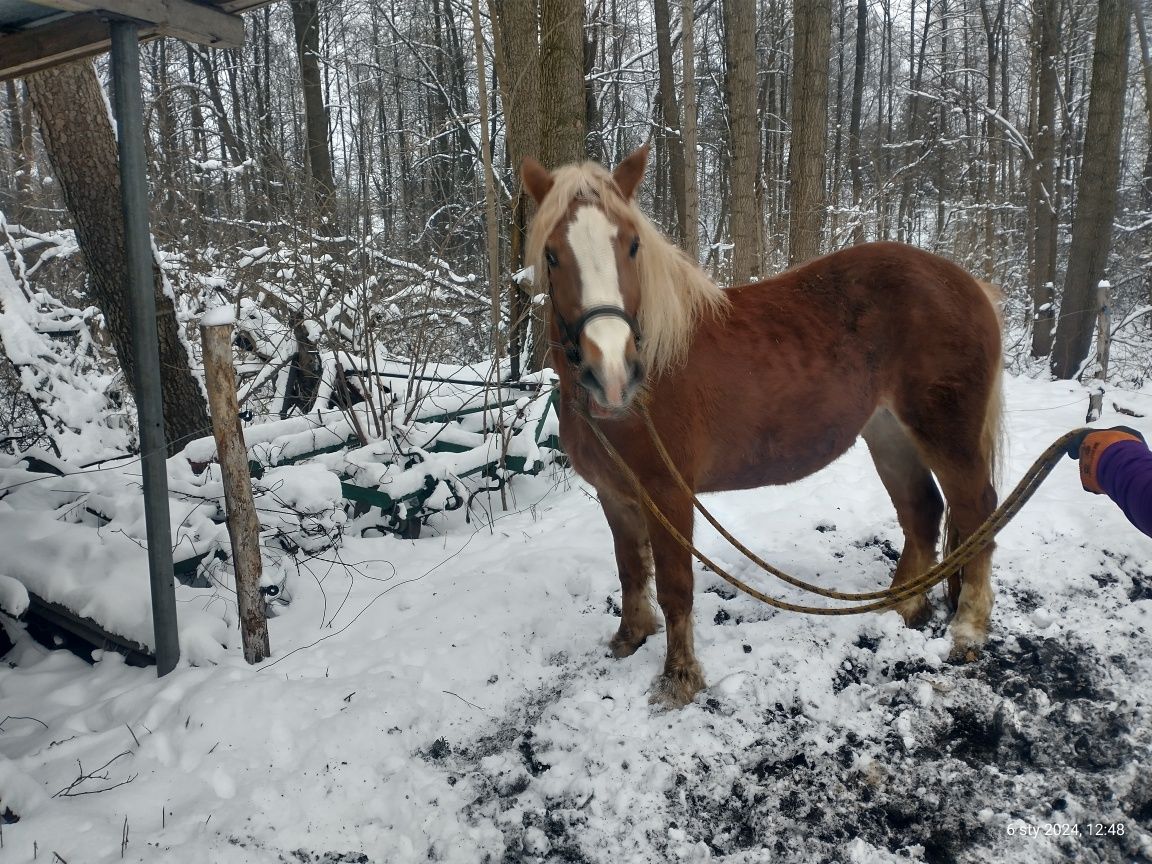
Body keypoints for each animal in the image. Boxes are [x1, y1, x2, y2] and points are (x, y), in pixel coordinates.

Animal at [523, 144, 999, 709]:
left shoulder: (668, 493)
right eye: (553, 255)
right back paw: (900, 607)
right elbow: (630, 568)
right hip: (888, 433)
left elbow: (676, 585)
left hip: (948, 436)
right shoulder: (615, 495)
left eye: (633, 245)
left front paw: (679, 677)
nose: (613, 372)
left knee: (977, 511)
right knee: (922, 511)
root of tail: (969, 284)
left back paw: (968, 629)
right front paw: (630, 637)